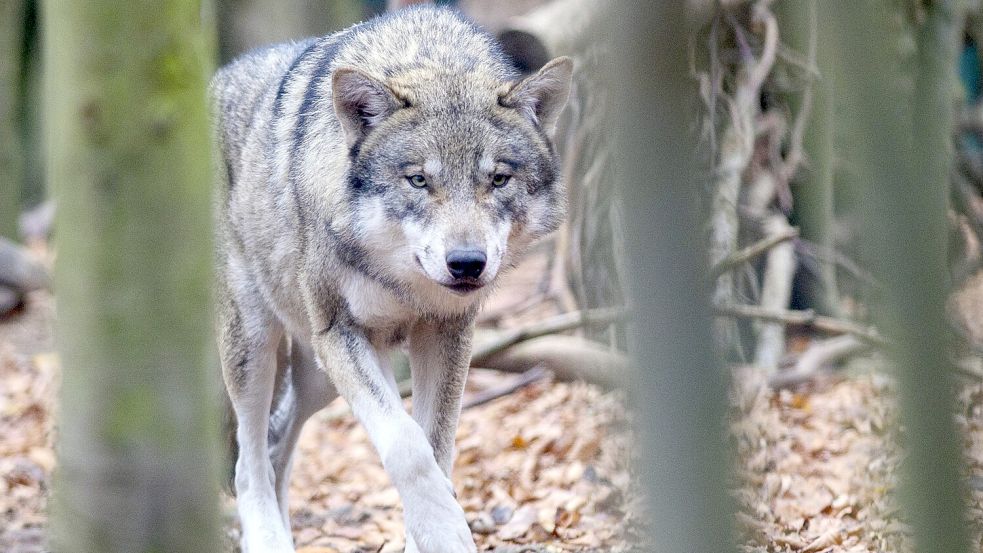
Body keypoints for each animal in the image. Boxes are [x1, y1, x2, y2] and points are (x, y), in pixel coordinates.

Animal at [211, 6, 572, 548]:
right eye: (419, 180)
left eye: (498, 179)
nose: (467, 263)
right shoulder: (341, 333)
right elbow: (406, 444)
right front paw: (446, 533)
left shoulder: (446, 333)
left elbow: (435, 447)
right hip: (257, 344)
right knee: (248, 463)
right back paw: (267, 540)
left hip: (316, 377)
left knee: (277, 449)